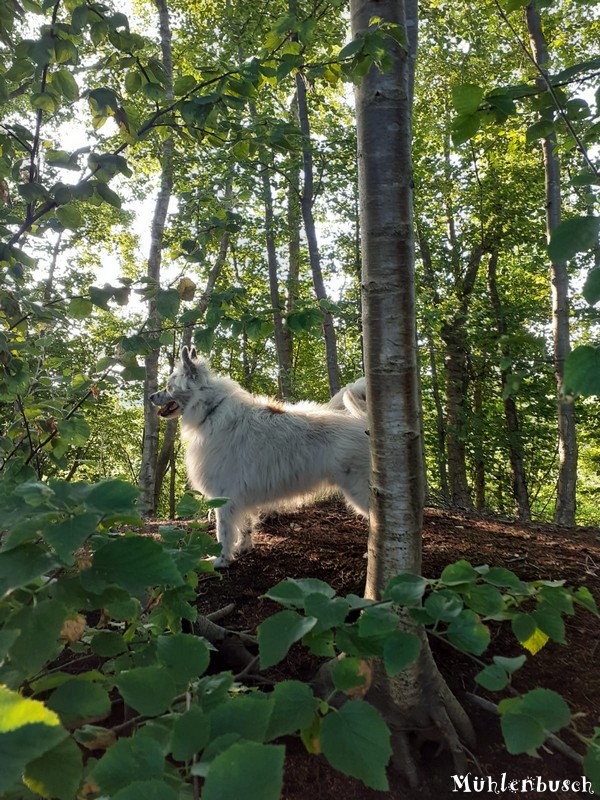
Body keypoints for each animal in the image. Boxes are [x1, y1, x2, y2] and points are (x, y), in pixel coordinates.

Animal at [149, 346, 370, 564]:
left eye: (169, 387)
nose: (150, 397)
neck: (210, 409)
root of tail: (366, 424)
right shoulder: (240, 496)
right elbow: (245, 526)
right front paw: (243, 548)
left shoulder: (224, 495)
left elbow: (223, 532)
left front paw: (221, 560)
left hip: (361, 492)